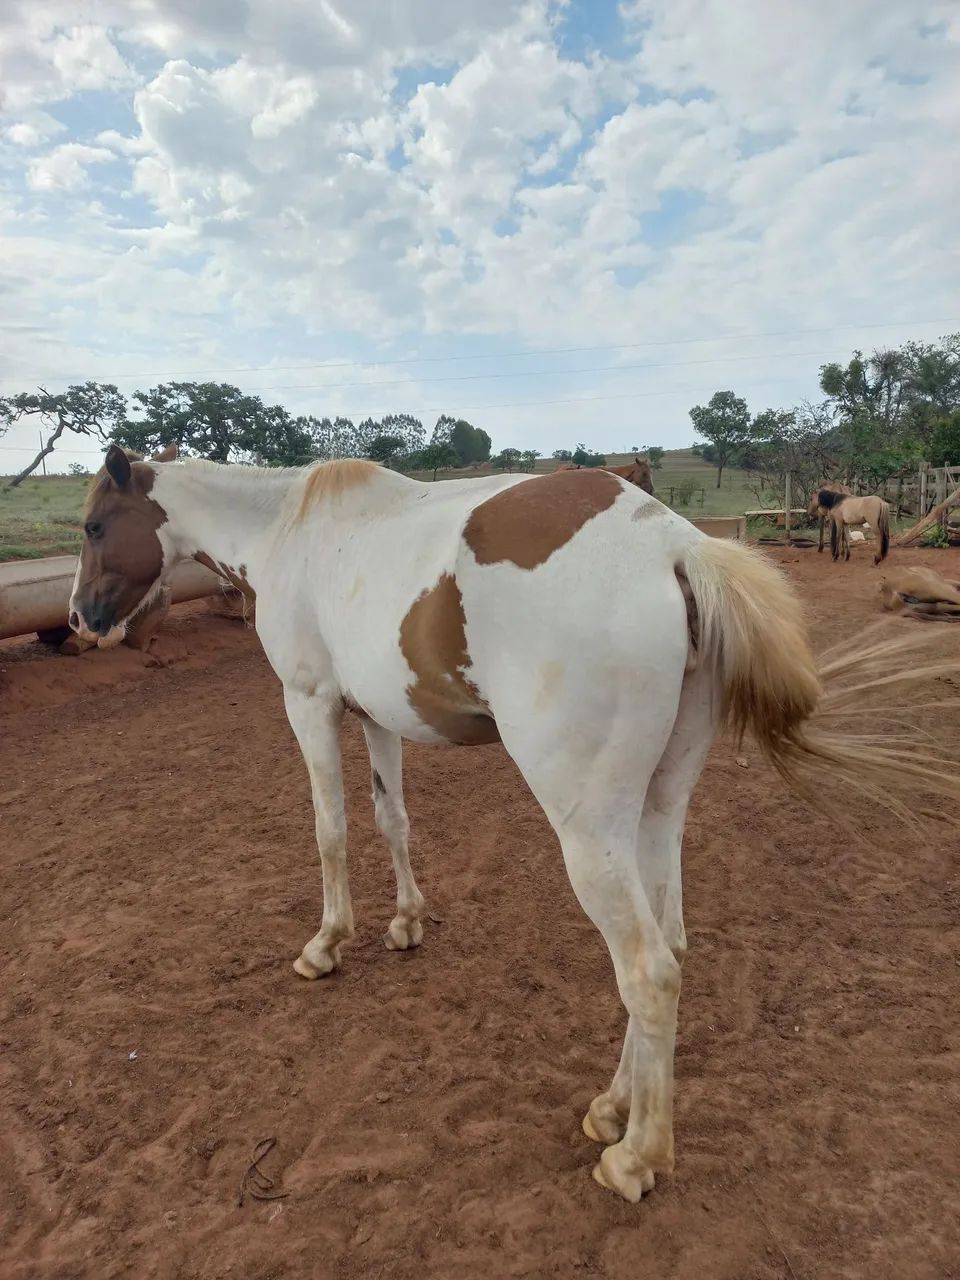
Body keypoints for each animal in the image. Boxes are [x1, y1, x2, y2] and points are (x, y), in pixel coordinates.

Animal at [69, 444, 959, 1205]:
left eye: (93, 526)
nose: (81, 619)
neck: (293, 526)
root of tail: (672, 546)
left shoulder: (310, 704)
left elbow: (331, 831)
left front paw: (326, 944)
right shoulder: (376, 717)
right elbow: (392, 818)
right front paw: (406, 922)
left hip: (589, 830)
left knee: (647, 970)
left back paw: (636, 1156)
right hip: (657, 810)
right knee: (670, 944)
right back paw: (613, 1106)